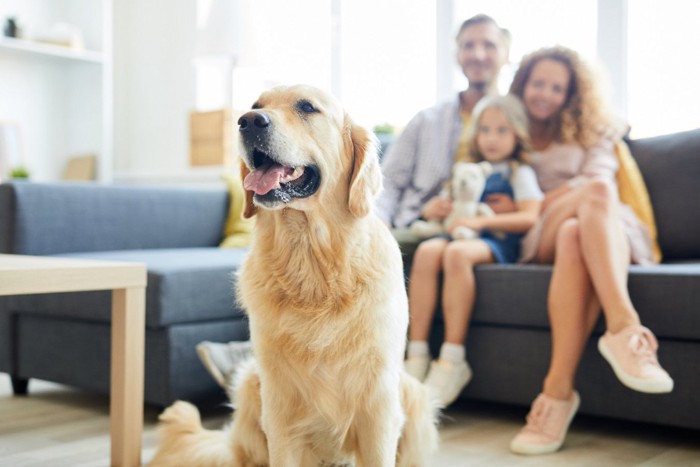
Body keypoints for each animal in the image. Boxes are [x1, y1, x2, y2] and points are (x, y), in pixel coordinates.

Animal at [151, 84, 440, 467]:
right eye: (256, 105)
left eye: (307, 107)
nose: (247, 121)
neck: (312, 265)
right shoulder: (280, 414)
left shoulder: (378, 411)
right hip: (250, 387)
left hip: (414, 397)